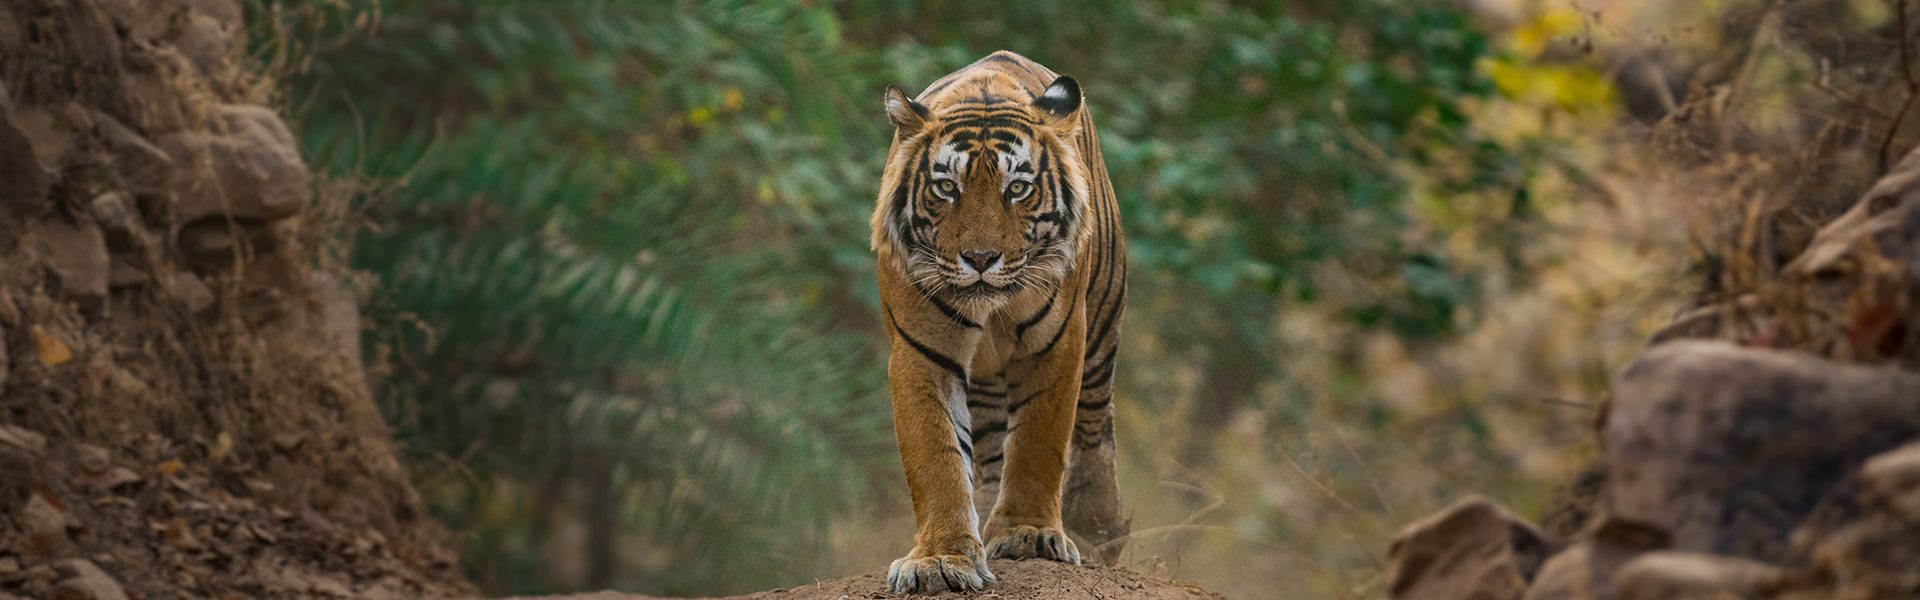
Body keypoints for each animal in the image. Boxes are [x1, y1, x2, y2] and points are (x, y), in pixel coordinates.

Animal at [870, 50, 1129, 594]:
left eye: (1018, 189)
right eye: (947, 187)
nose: (980, 258)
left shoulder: (1058, 345)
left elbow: (1038, 441)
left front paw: (1029, 535)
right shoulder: (921, 353)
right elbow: (938, 457)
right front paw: (942, 559)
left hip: (1101, 330)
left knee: (1095, 425)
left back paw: (1097, 529)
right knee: (989, 451)